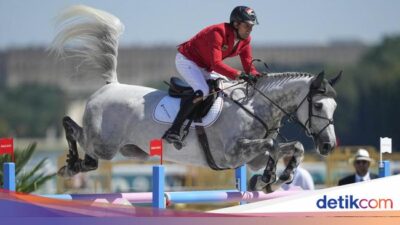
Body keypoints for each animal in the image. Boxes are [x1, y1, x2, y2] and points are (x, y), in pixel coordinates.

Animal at [50, 4, 340, 192]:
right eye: (317, 105)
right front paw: (269, 178)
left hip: (131, 150)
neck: (254, 107)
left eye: (334, 107)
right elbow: (272, 145)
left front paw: (272, 179)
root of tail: (111, 86)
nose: (328, 146)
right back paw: (70, 165)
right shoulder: (231, 154)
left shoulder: (251, 158)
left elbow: (291, 147)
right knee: (76, 134)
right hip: (103, 144)